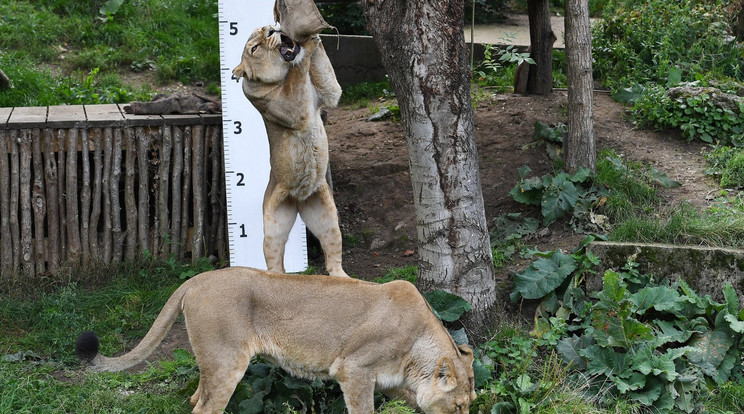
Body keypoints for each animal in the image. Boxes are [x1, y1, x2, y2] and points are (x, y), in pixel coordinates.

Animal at [77, 266, 476, 412]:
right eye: (458, 406)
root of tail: (195, 279)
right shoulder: (354, 370)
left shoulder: (392, 384)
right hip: (228, 362)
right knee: (205, 408)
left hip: (212, 363)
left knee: (195, 397)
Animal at [232, 26, 348, 278]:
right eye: (255, 47)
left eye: (262, 31)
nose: (270, 29)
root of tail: (299, 200)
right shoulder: (291, 108)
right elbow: (298, 73)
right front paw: (306, 46)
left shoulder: (325, 94)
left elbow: (330, 85)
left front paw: (314, 38)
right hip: (273, 226)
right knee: (275, 263)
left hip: (326, 215)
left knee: (332, 254)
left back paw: (343, 277)